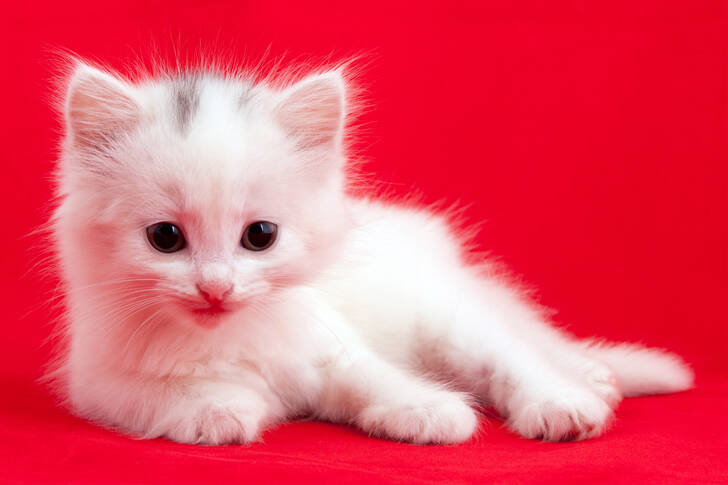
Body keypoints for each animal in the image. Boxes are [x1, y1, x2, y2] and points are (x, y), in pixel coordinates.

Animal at [51, 58, 692, 444]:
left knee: (519, 350)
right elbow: (165, 396)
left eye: (260, 235)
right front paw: (219, 411)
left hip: (451, 318)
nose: (215, 287)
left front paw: (432, 412)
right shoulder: (100, 380)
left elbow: (374, 378)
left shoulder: (333, 347)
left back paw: (574, 396)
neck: (233, 336)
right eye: (165, 238)